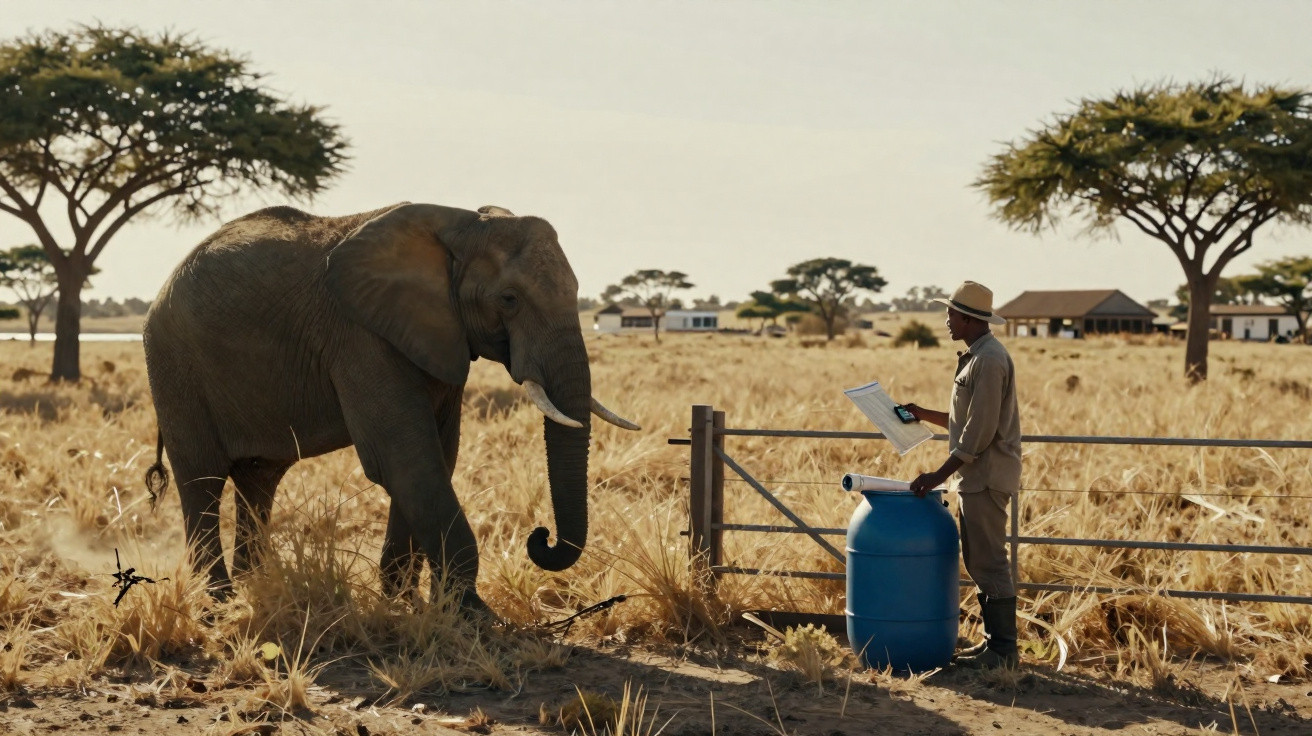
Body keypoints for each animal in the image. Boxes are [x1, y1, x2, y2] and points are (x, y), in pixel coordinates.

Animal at [141, 202, 638, 612]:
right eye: (509, 299)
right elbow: (405, 459)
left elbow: (435, 457)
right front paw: (470, 616)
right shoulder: (359, 337)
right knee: (203, 479)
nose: (541, 536)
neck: (460, 224)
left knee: (259, 478)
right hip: (174, 367)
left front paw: (404, 602)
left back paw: (256, 585)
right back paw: (220, 602)